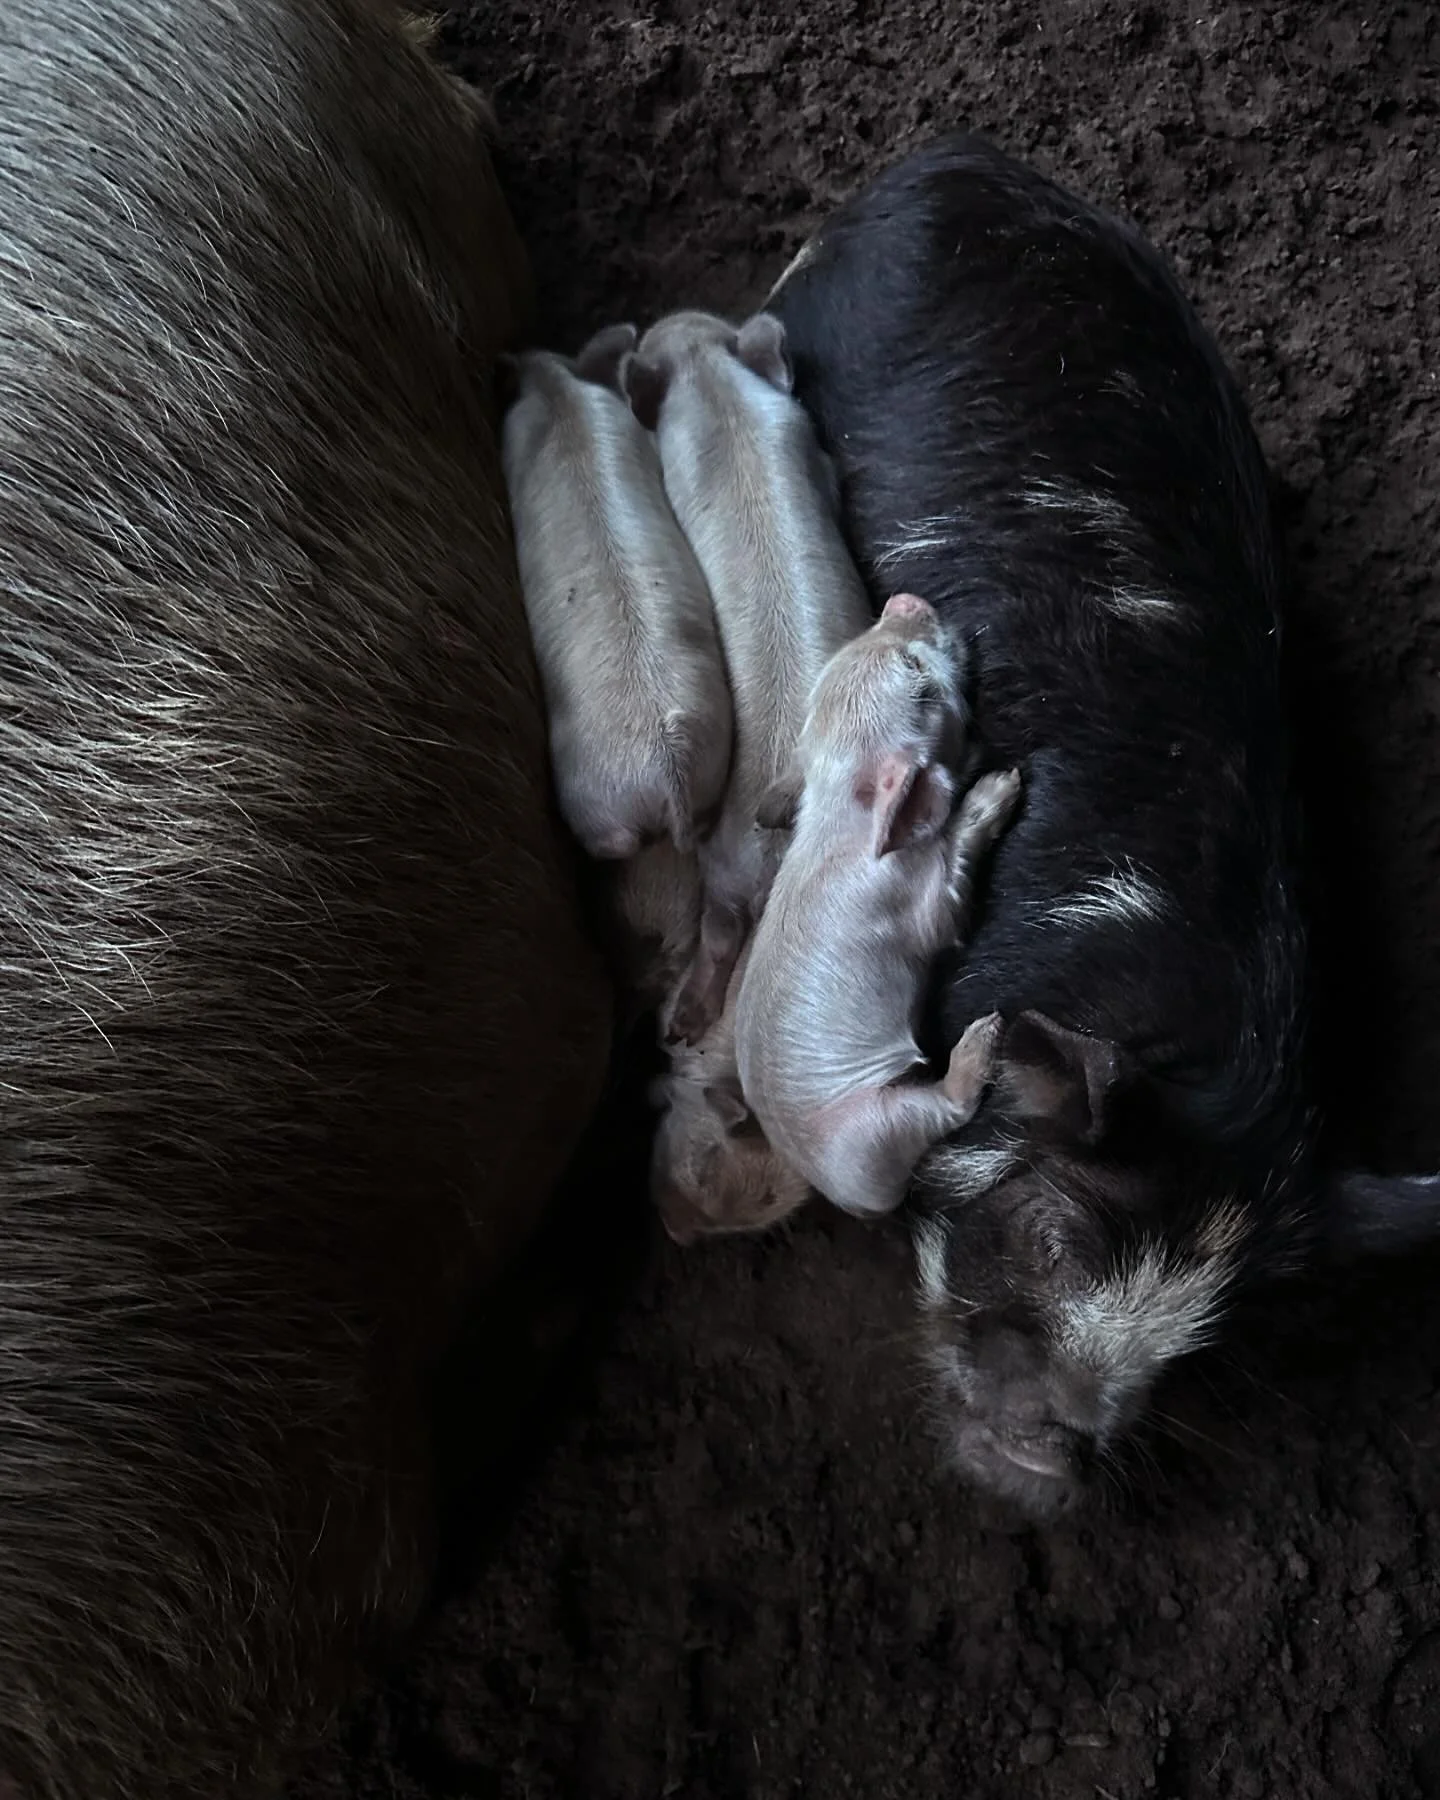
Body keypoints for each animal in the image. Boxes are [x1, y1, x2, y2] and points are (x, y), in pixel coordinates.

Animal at [618, 309, 874, 1045]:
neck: (711, 384)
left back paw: (684, 1024)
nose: (672, 316)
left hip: (718, 869)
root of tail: (775, 854)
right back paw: (687, 1025)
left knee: (718, 931)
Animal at [735, 593, 1021, 1217]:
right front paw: (1002, 782)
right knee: (947, 1107)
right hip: (881, 1122)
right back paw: (984, 1035)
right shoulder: (919, 901)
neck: (842, 816)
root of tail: (850, 1201)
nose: (901, 600)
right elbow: (948, 905)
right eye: (915, 673)